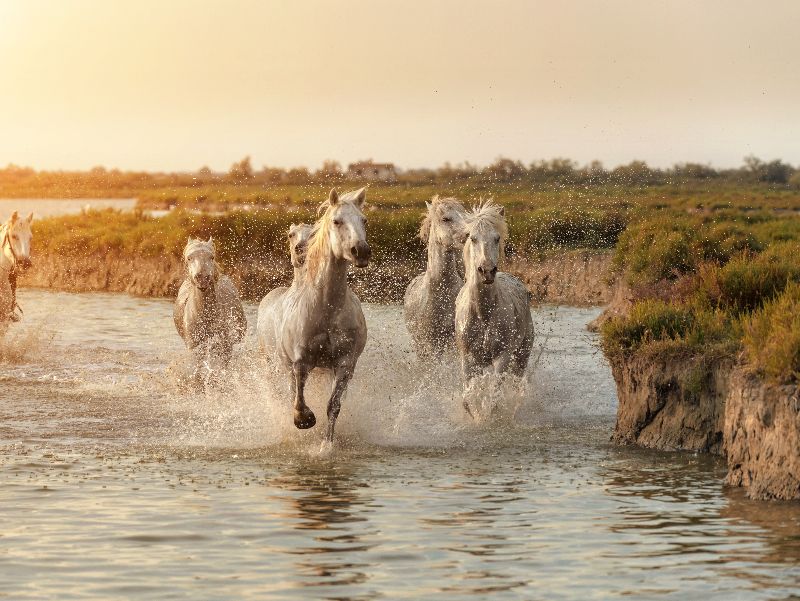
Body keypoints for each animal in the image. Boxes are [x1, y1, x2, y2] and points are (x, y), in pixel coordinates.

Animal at [174, 237, 247, 382]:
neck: (206, 315)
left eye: (211, 257)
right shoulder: (195, 347)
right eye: (189, 258)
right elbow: (198, 372)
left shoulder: (225, 346)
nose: (202, 278)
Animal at [256, 189, 372, 446]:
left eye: (364, 220)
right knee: (289, 392)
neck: (327, 308)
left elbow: (333, 406)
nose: (361, 251)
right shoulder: (301, 361)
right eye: (336, 221)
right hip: (278, 363)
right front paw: (304, 420)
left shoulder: (344, 364)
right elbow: (298, 400)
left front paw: (326, 444)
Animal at [454, 200, 536, 408]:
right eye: (472, 238)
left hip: (522, 355)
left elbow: (494, 400)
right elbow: (467, 400)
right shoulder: (468, 359)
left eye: (497, 238)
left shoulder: (502, 357)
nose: (487, 271)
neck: (483, 313)